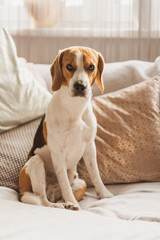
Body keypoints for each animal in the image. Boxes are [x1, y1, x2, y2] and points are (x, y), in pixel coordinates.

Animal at [18, 47, 113, 210]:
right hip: (36, 162)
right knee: (42, 200)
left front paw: (104, 193)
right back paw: (62, 205)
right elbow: (64, 184)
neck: (74, 108)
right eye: (69, 66)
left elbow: (95, 173)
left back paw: (66, 204)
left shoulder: (90, 146)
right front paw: (73, 201)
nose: (80, 86)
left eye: (91, 67)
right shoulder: (58, 153)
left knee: (58, 196)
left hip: (81, 183)